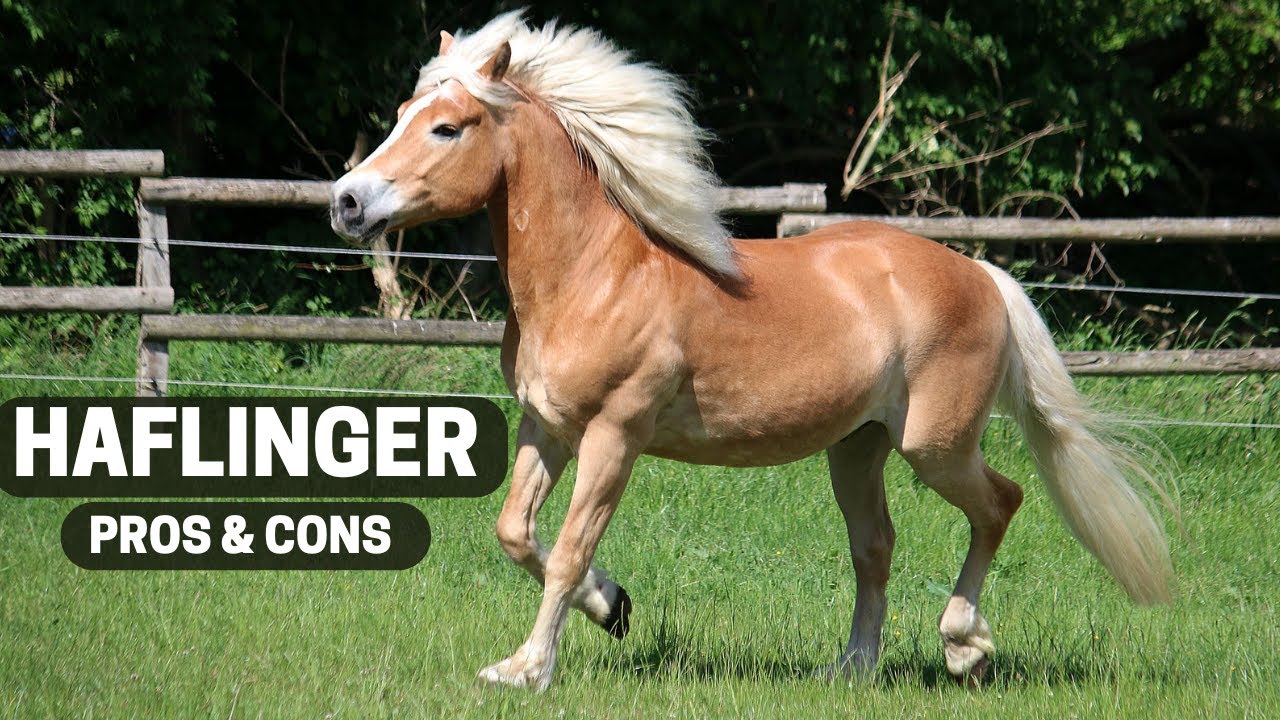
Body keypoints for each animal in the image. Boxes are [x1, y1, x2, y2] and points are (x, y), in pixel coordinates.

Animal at [329, 11, 1173, 691]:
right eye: (402, 114)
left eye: (448, 127)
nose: (346, 202)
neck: (595, 275)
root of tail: (980, 274)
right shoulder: (551, 426)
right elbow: (515, 532)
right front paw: (613, 606)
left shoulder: (613, 436)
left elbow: (567, 548)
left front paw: (527, 670)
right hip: (857, 448)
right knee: (875, 547)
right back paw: (852, 669)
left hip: (935, 445)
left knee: (1001, 502)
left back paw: (965, 647)